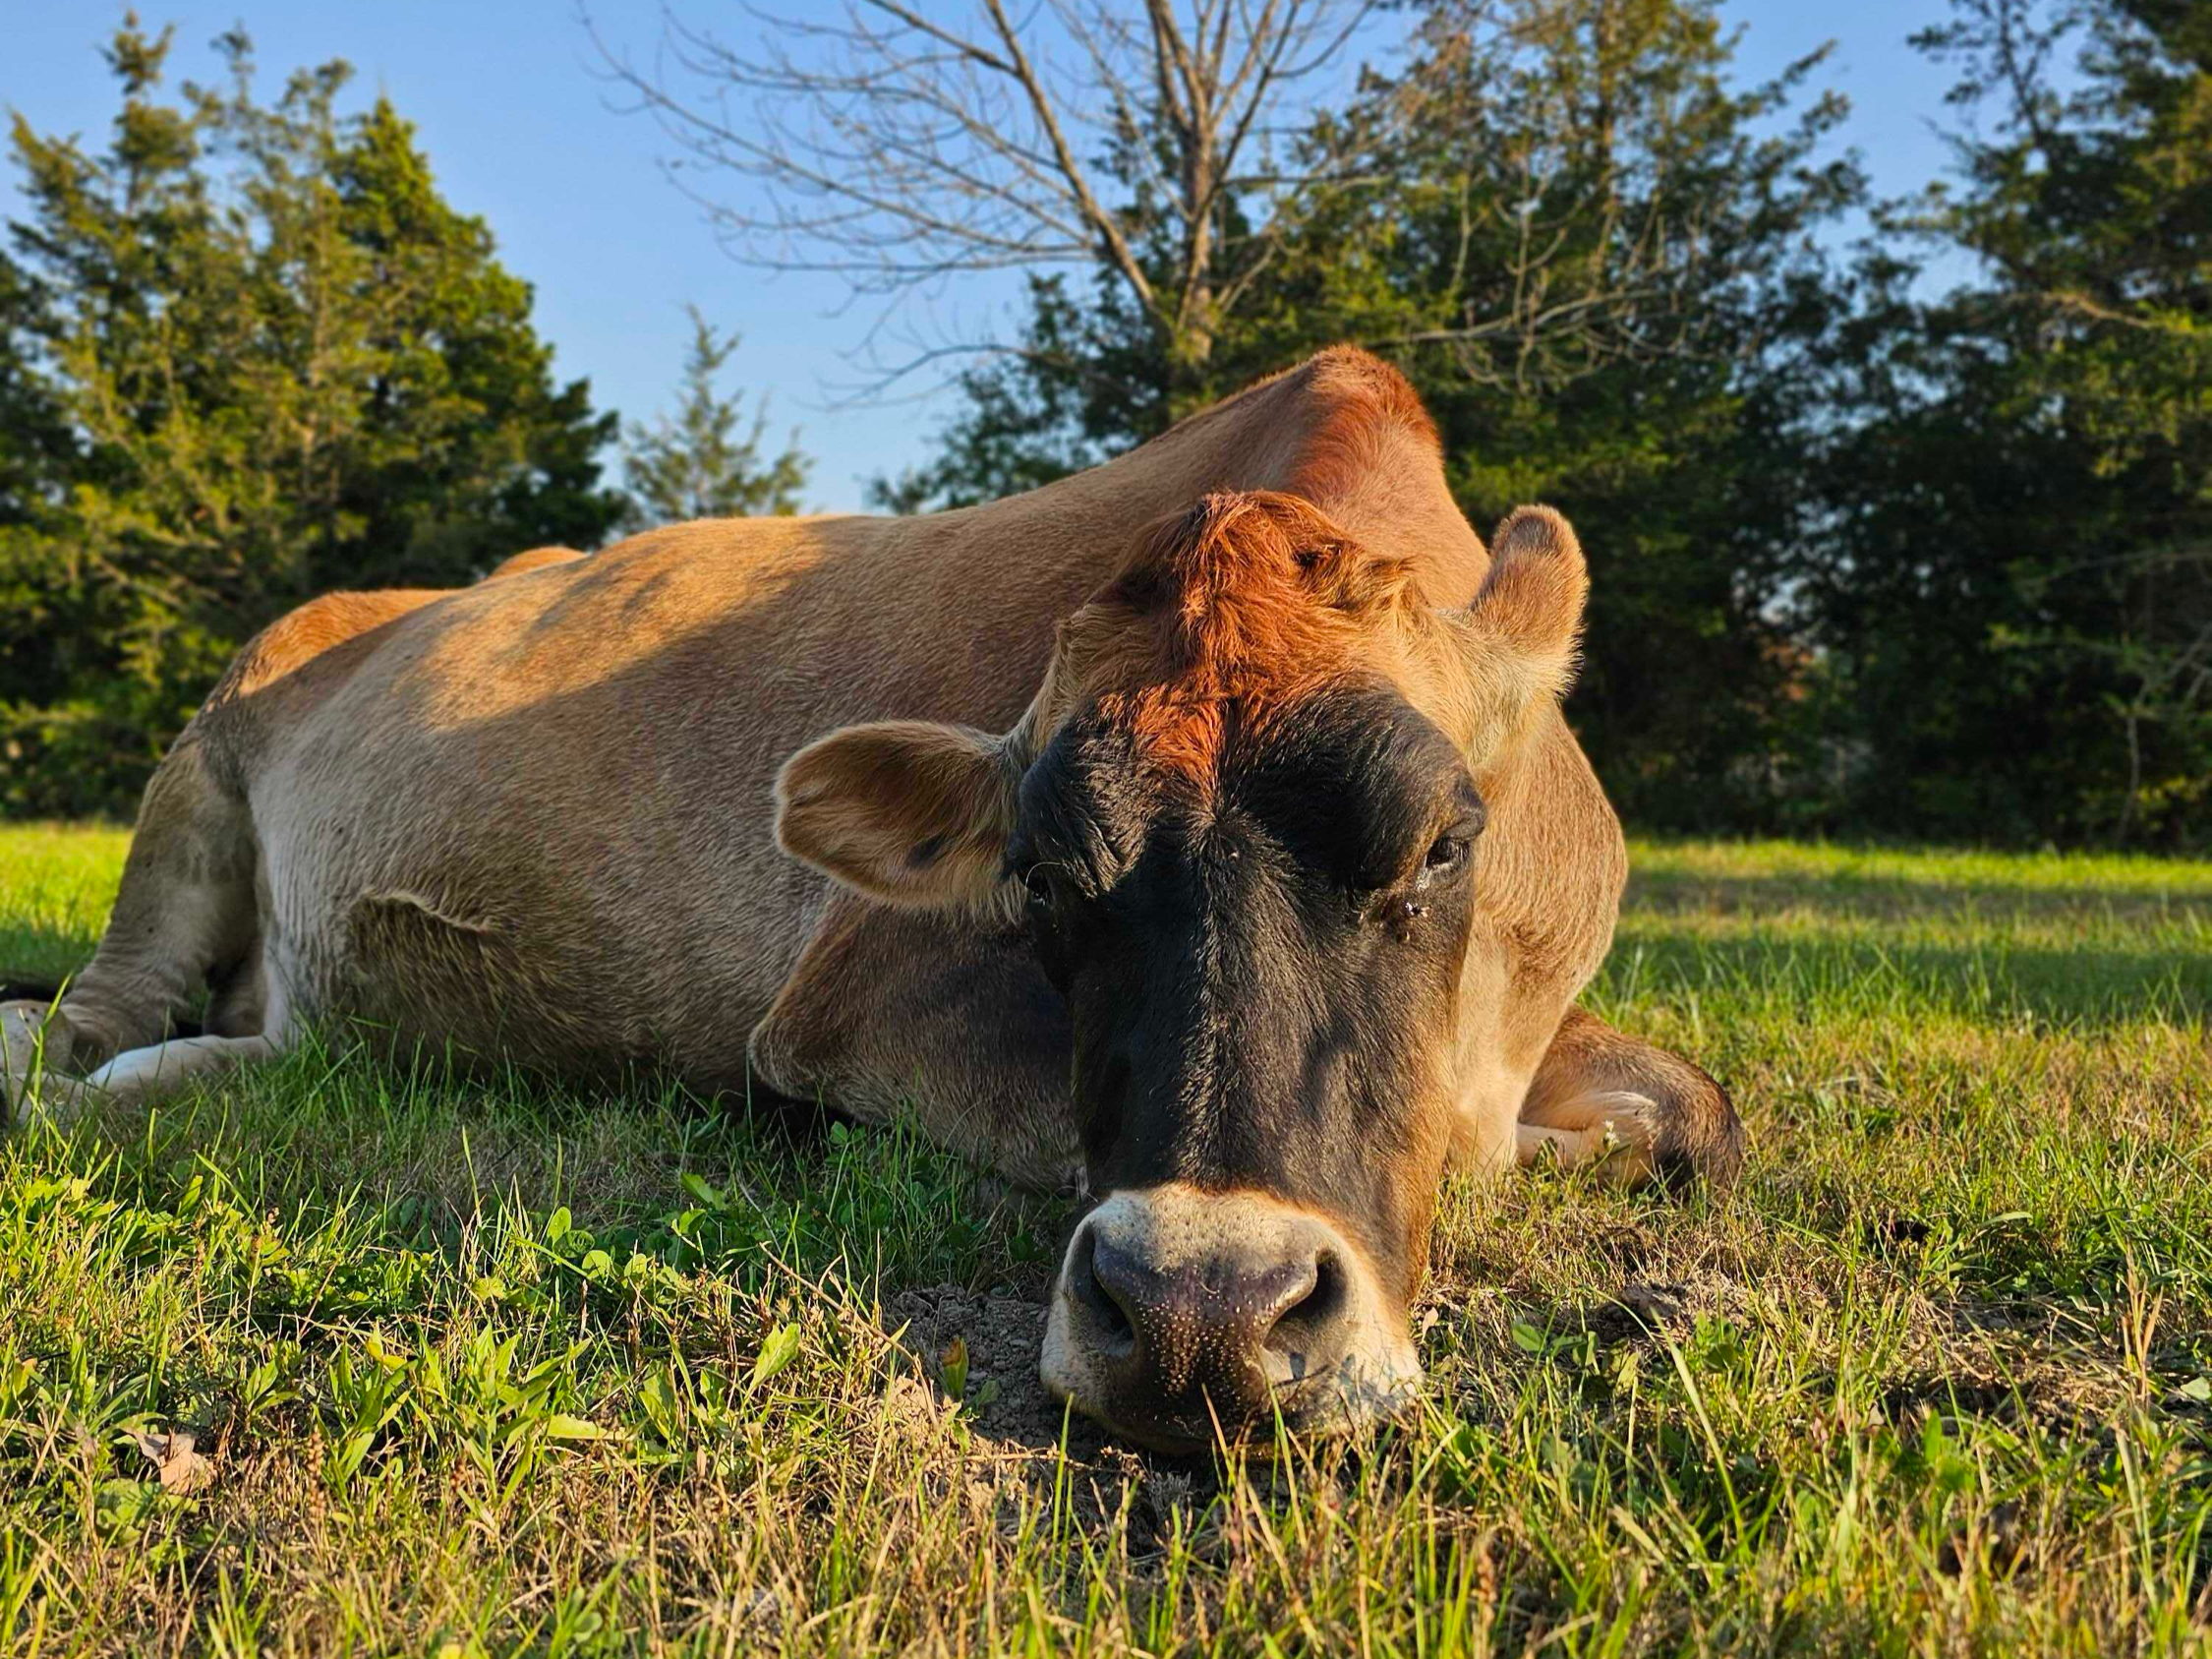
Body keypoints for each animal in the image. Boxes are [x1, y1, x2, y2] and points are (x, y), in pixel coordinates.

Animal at [0, 348, 1740, 1452]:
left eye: (1443, 841)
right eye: (1039, 876)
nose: (1201, 1317)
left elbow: (1690, 1111)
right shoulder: (847, 1000)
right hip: (197, 764)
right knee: (90, 1015)